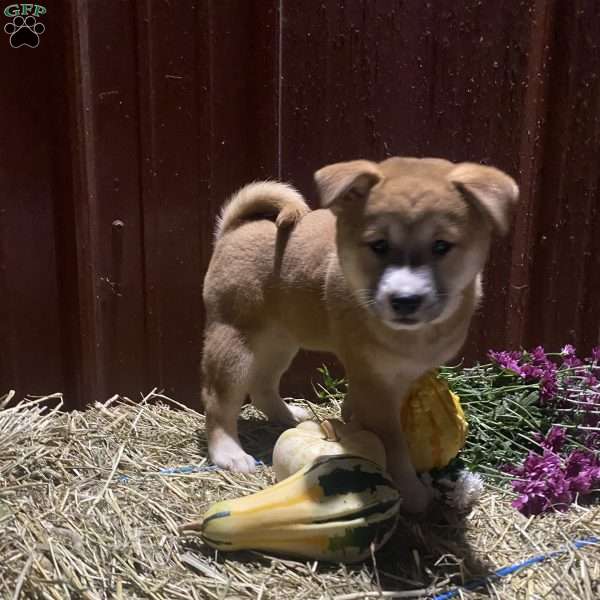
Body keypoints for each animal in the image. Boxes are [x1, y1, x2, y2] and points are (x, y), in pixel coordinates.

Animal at [200, 156, 516, 510]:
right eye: (378, 245)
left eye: (441, 246)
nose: (405, 300)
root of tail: (233, 230)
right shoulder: (376, 383)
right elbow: (394, 446)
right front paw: (411, 491)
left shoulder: (393, 376)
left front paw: (348, 418)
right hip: (234, 342)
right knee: (218, 401)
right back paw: (229, 453)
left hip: (281, 340)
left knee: (263, 385)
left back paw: (287, 416)